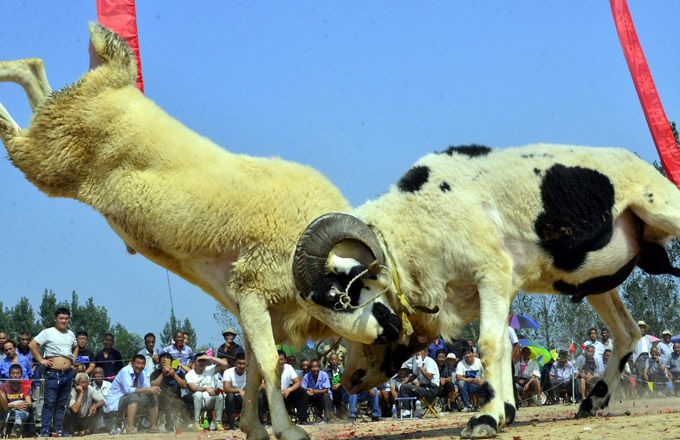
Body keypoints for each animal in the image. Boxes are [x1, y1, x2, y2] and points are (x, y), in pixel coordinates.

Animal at [0, 24, 402, 440]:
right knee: (17, 131)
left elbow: (254, 367)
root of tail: (116, 77)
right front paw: (289, 430)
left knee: (35, 76)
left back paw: (17, 67)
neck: (297, 239)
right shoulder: (253, 291)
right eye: (361, 283)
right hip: (51, 159)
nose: (396, 329)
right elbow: (272, 365)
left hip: (57, 132)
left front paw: (253, 428)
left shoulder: (252, 309)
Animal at [292, 143, 680, 438]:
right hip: (596, 280)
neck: (421, 220)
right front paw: (505, 411)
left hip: (663, 211)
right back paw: (593, 401)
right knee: (627, 333)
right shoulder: (490, 289)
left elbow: (490, 345)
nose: (349, 381)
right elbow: (506, 346)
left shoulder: (492, 275)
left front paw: (486, 419)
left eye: (345, 294)